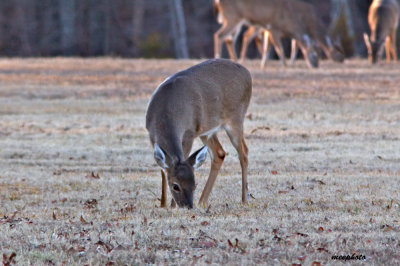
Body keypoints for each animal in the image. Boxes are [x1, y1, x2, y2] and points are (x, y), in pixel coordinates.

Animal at [145, 58, 252, 208]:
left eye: (194, 185)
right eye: (175, 186)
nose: (188, 206)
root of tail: (247, 73)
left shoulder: (189, 132)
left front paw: (171, 206)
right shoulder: (152, 136)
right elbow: (162, 169)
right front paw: (163, 205)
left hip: (236, 118)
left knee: (244, 152)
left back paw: (244, 199)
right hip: (206, 131)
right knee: (220, 153)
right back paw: (203, 201)